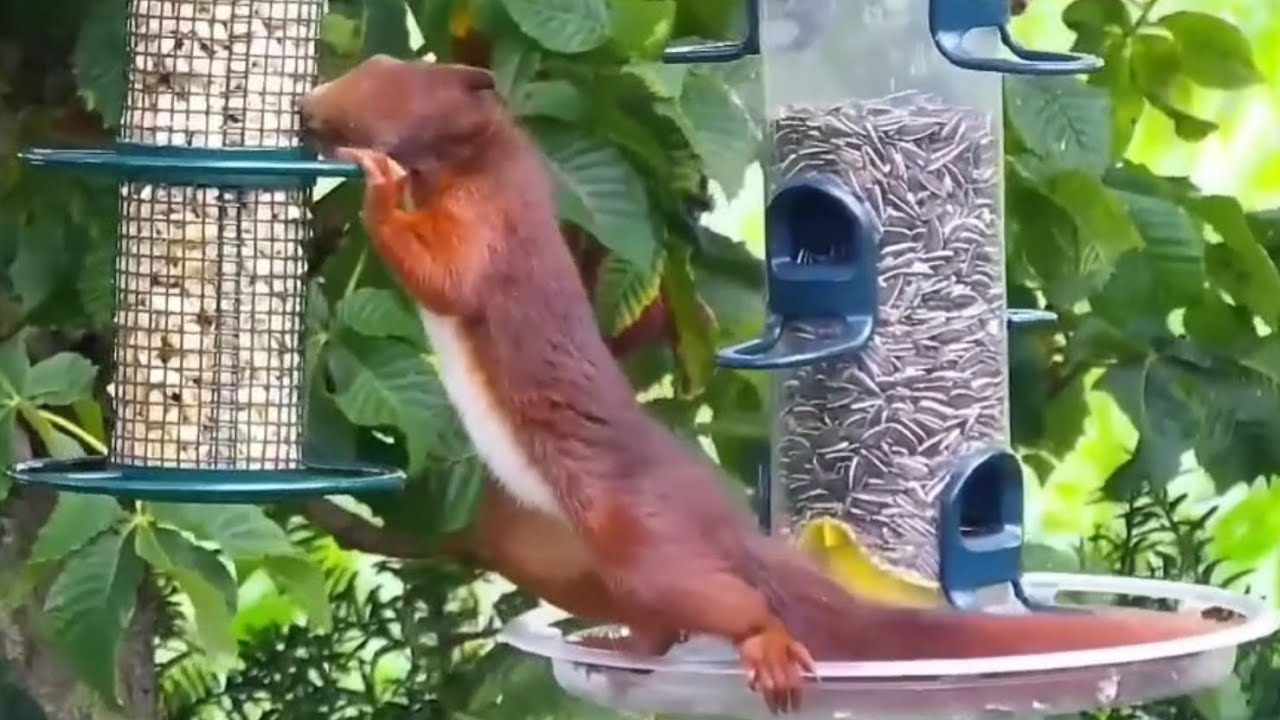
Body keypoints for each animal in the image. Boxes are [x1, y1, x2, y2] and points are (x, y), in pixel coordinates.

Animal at [298, 56, 1228, 714]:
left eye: (384, 80)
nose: (308, 108)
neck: (480, 164)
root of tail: (726, 521)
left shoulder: (492, 227)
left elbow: (446, 278)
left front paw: (374, 184)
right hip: (540, 543)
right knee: (658, 623)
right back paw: (623, 644)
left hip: (637, 540)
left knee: (722, 602)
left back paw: (766, 647)